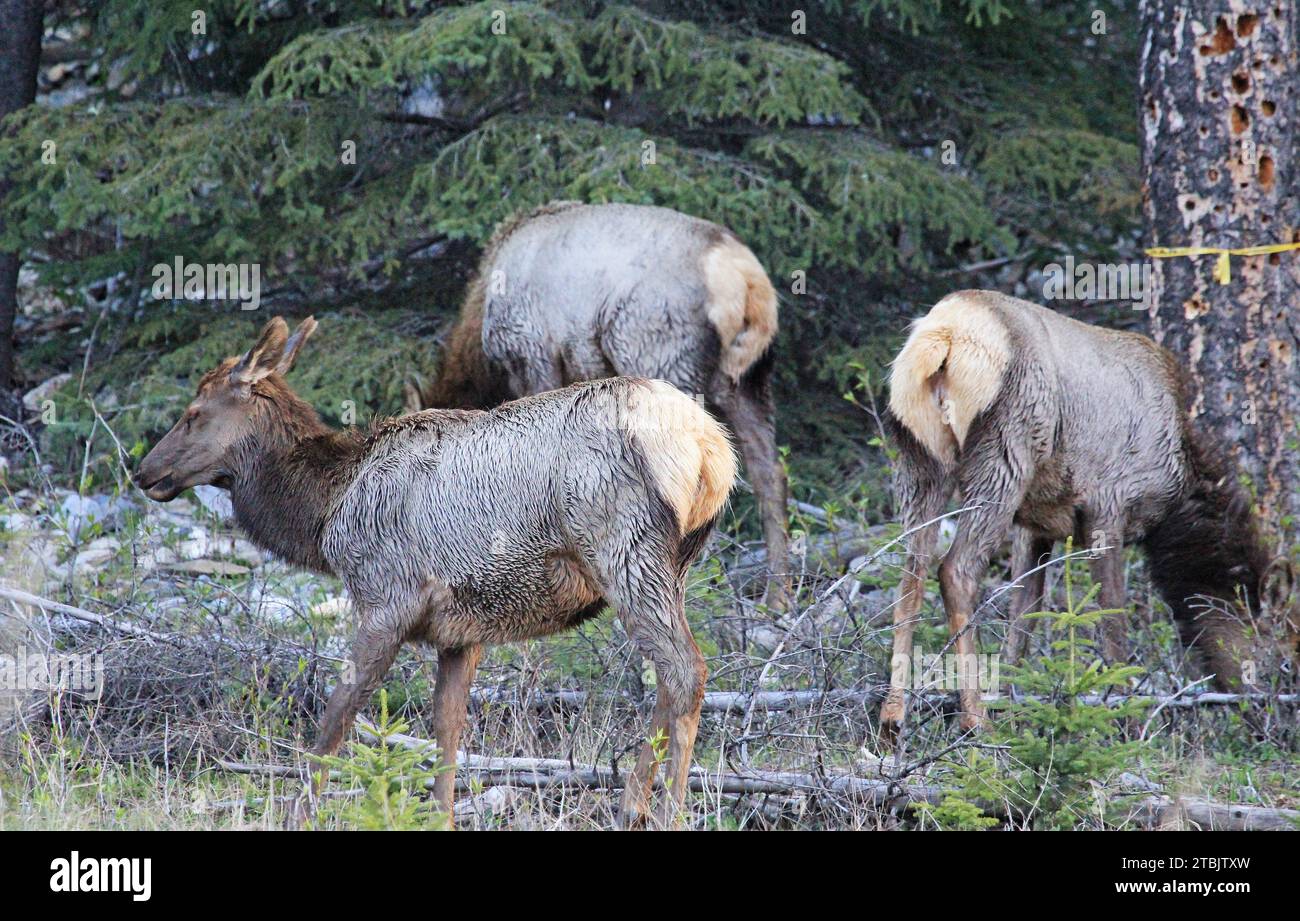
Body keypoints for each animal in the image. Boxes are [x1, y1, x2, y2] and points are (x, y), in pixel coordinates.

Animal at [139, 314, 743, 827]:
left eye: (194, 413)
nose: (143, 470)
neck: (326, 508)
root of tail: (711, 447)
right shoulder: (462, 628)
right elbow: (447, 730)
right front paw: (441, 816)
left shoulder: (387, 597)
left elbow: (337, 715)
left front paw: (298, 815)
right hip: (675, 564)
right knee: (669, 676)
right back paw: (633, 807)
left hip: (626, 550)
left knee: (685, 670)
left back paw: (662, 813)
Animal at [405, 197, 790, 608]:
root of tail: (748, 281)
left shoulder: (534, 355)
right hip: (751, 380)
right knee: (770, 473)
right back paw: (777, 598)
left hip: (662, 358)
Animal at [878, 291, 1294, 738]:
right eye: (1287, 655)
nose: (1272, 718)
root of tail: (944, 338)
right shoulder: (1109, 505)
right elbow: (1112, 623)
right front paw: (1127, 721)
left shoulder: (1036, 526)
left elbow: (1024, 617)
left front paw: (1009, 701)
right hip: (1004, 454)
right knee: (956, 571)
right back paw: (974, 721)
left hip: (918, 464)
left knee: (911, 572)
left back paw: (893, 717)